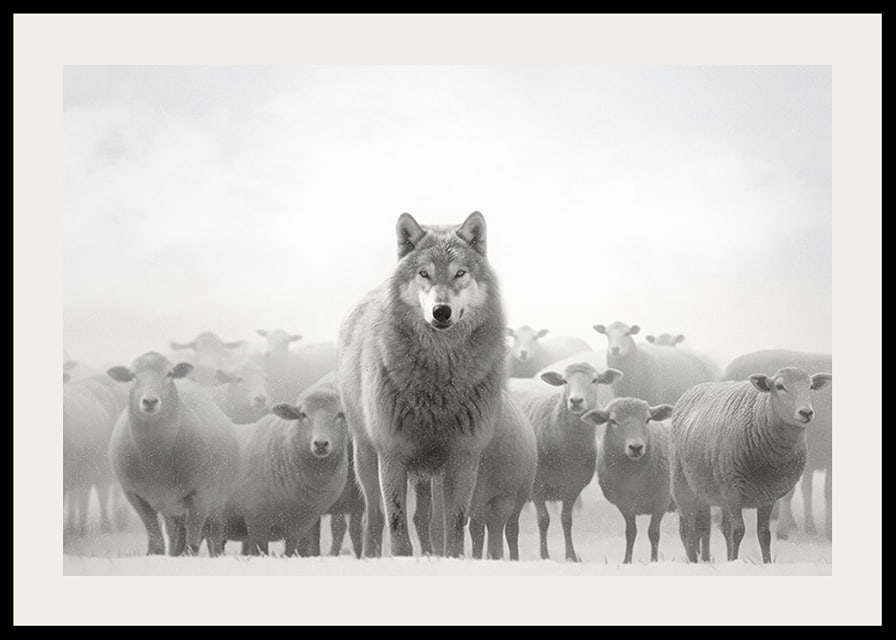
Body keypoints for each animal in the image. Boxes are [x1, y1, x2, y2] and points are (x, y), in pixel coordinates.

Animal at [337, 210, 507, 558]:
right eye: (424, 273)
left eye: (459, 273)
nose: (441, 311)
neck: (439, 380)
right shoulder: (392, 454)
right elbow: (397, 525)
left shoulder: (463, 456)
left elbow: (454, 526)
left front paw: (452, 559)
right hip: (366, 459)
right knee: (373, 517)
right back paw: (370, 555)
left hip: (433, 475)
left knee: (432, 522)